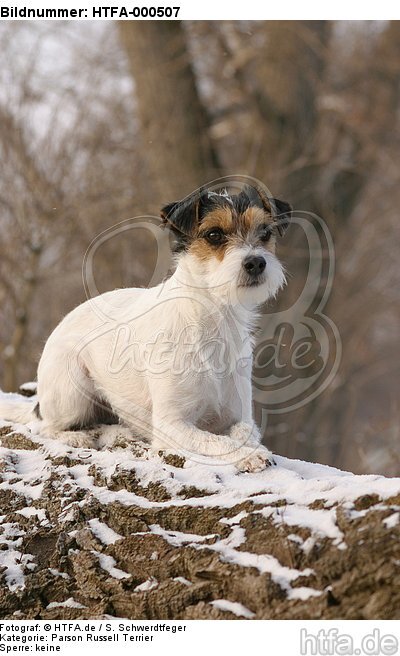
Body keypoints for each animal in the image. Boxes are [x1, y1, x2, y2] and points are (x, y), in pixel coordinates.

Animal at [0, 184, 294, 472]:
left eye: (265, 233)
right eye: (214, 234)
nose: (256, 262)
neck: (215, 316)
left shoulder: (238, 415)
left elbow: (245, 432)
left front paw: (252, 448)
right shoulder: (171, 426)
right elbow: (215, 441)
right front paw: (247, 455)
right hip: (72, 392)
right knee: (45, 427)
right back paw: (76, 436)